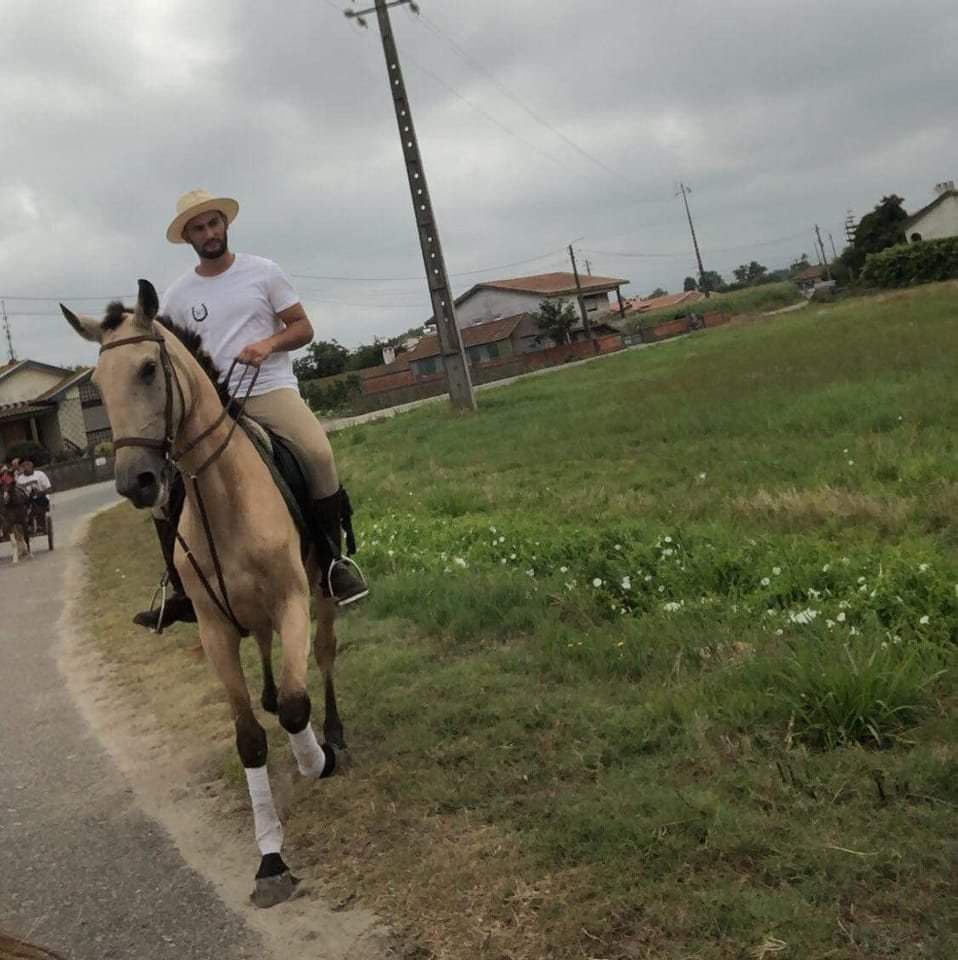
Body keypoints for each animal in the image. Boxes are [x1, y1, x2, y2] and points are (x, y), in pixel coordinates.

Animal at [61, 284, 344, 908]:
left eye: (147, 369)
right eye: (97, 383)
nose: (136, 482)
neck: (225, 497)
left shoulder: (291, 603)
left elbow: (297, 705)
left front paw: (317, 760)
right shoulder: (215, 631)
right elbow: (250, 739)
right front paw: (270, 861)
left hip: (321, 595)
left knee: (323, 658)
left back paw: (335, 733)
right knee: (267, 669)